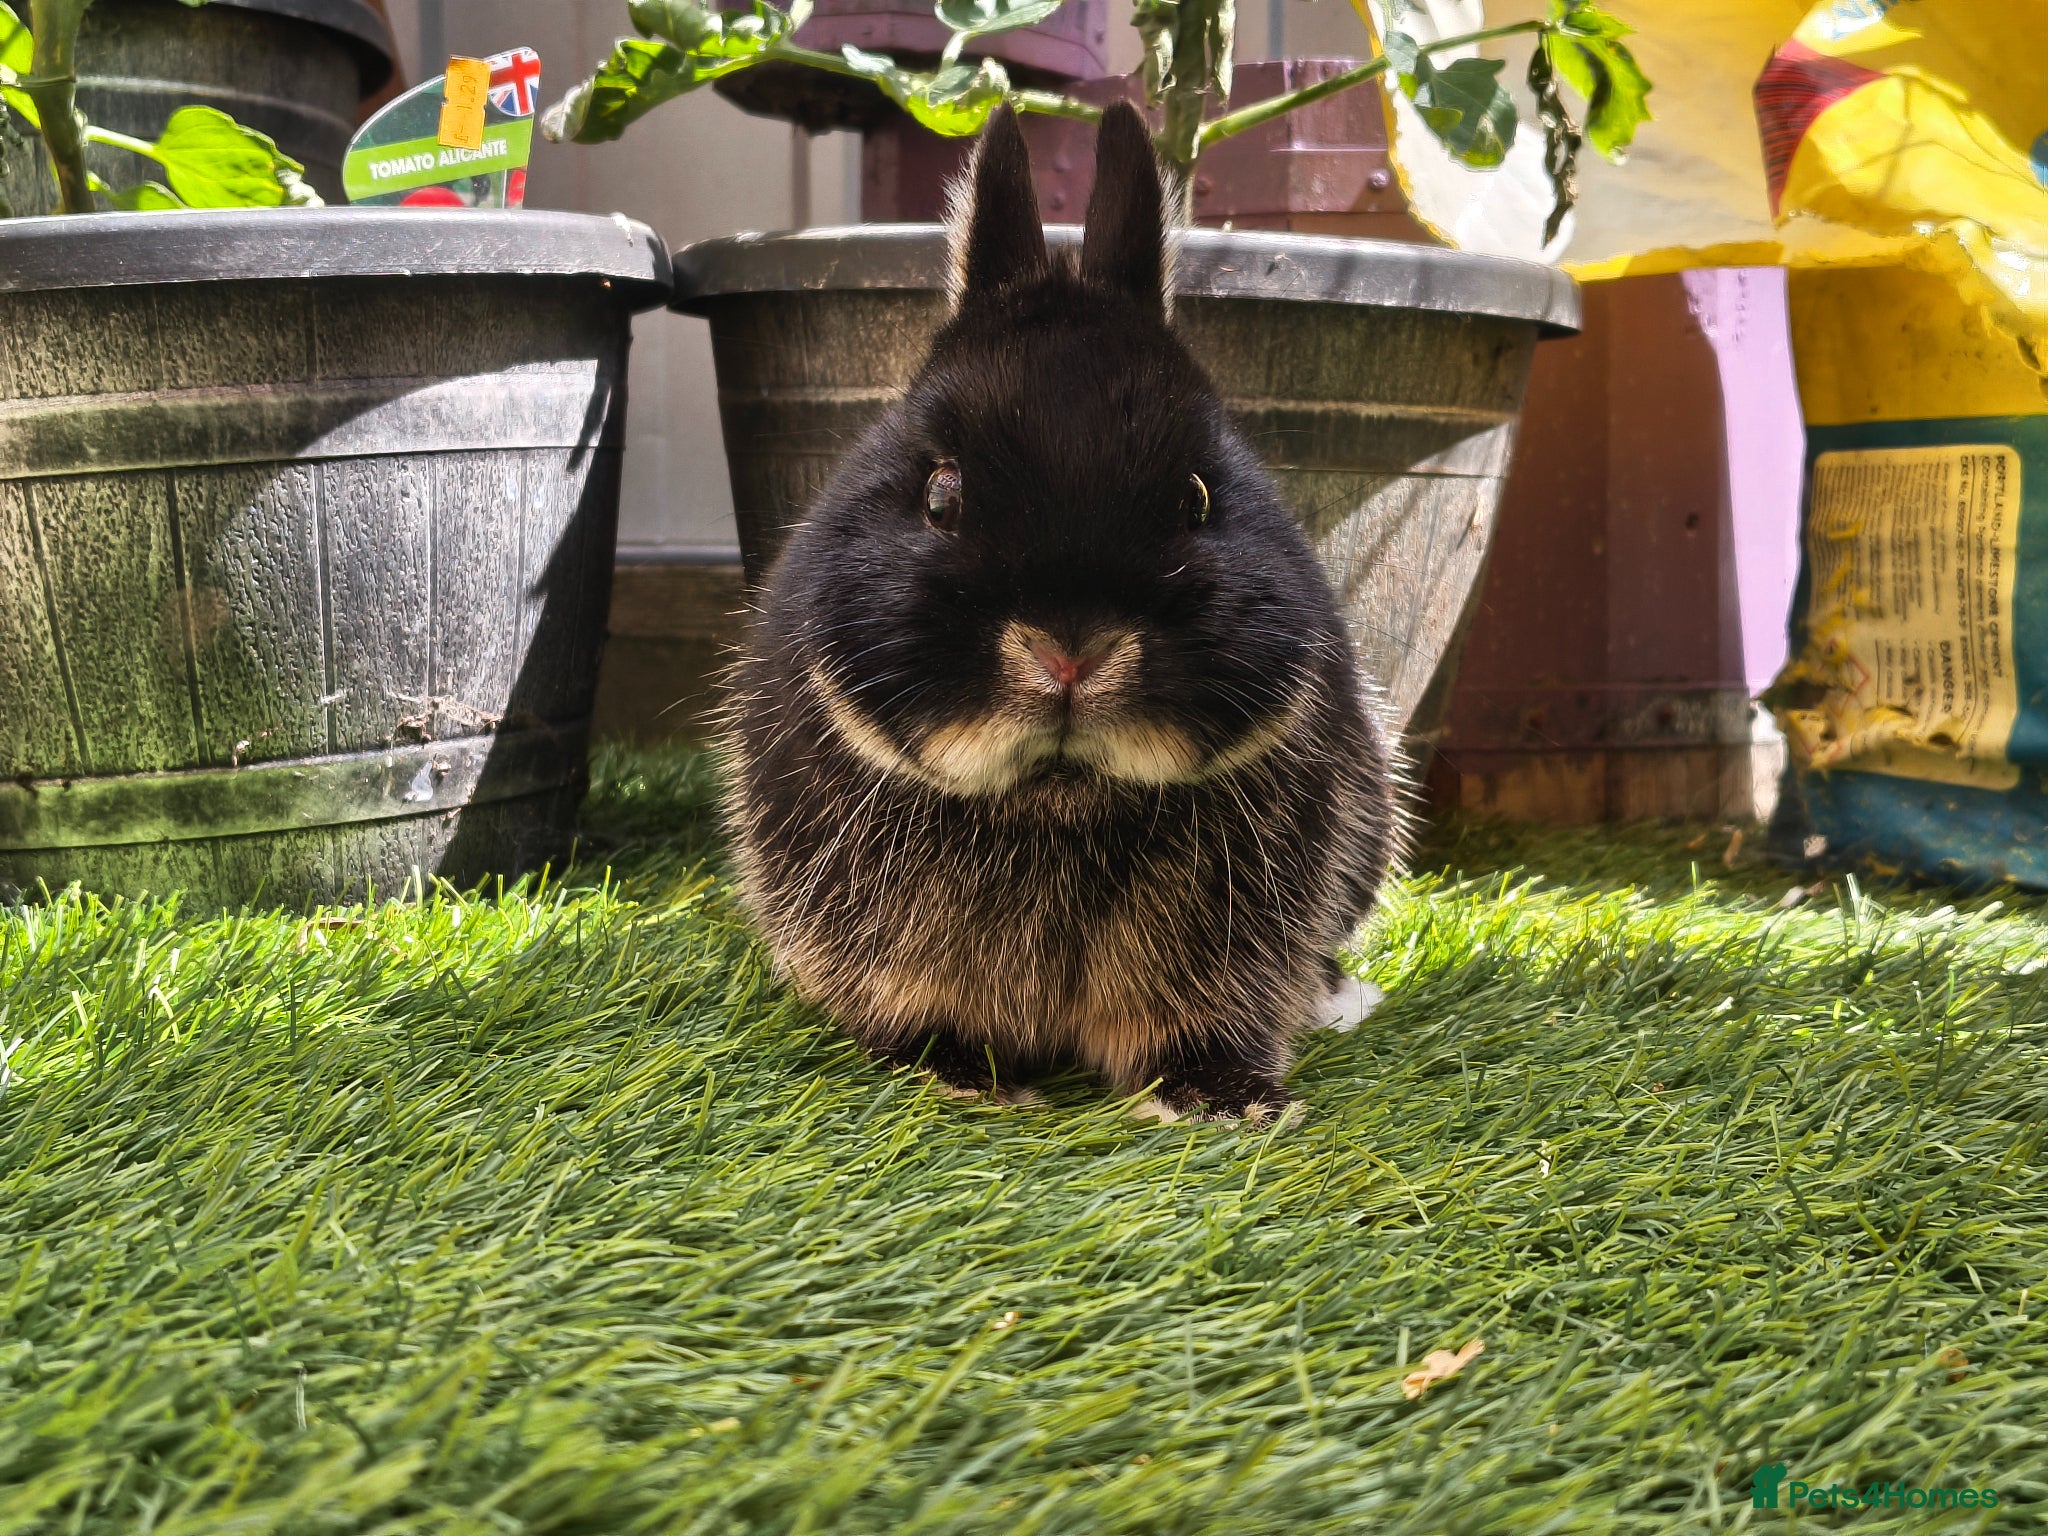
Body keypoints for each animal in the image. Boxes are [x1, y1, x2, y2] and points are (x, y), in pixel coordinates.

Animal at [722, 101, 1398, 1122]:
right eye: (940, 494)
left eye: (1198, 497)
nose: (1072, 654)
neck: (1061, 800)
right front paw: (964, 1076)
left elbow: (1205, 1015)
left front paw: (1229, 1100)